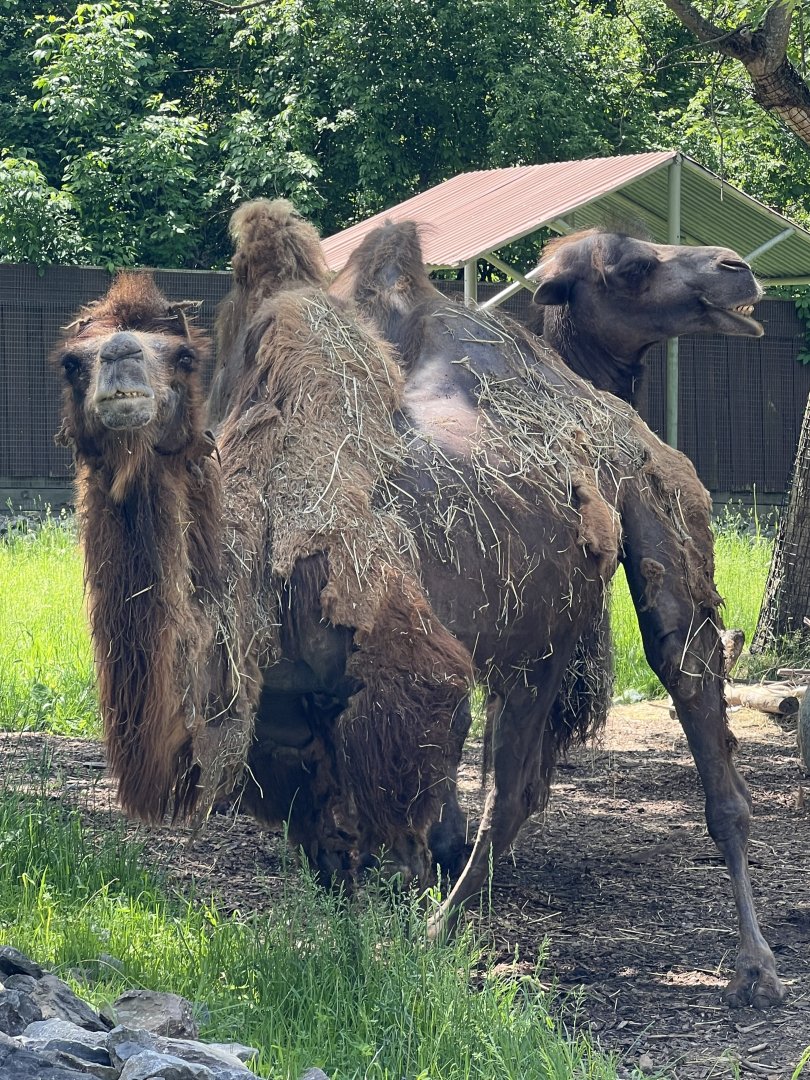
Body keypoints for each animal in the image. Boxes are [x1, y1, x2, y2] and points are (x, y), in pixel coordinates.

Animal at [51, 249, 475, 889]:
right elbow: (316, 822)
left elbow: (414, 767)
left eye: (183, 357)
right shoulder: (279, 724)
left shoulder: (391, 643)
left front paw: (412, 898)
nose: (120, 356)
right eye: (73, 363)